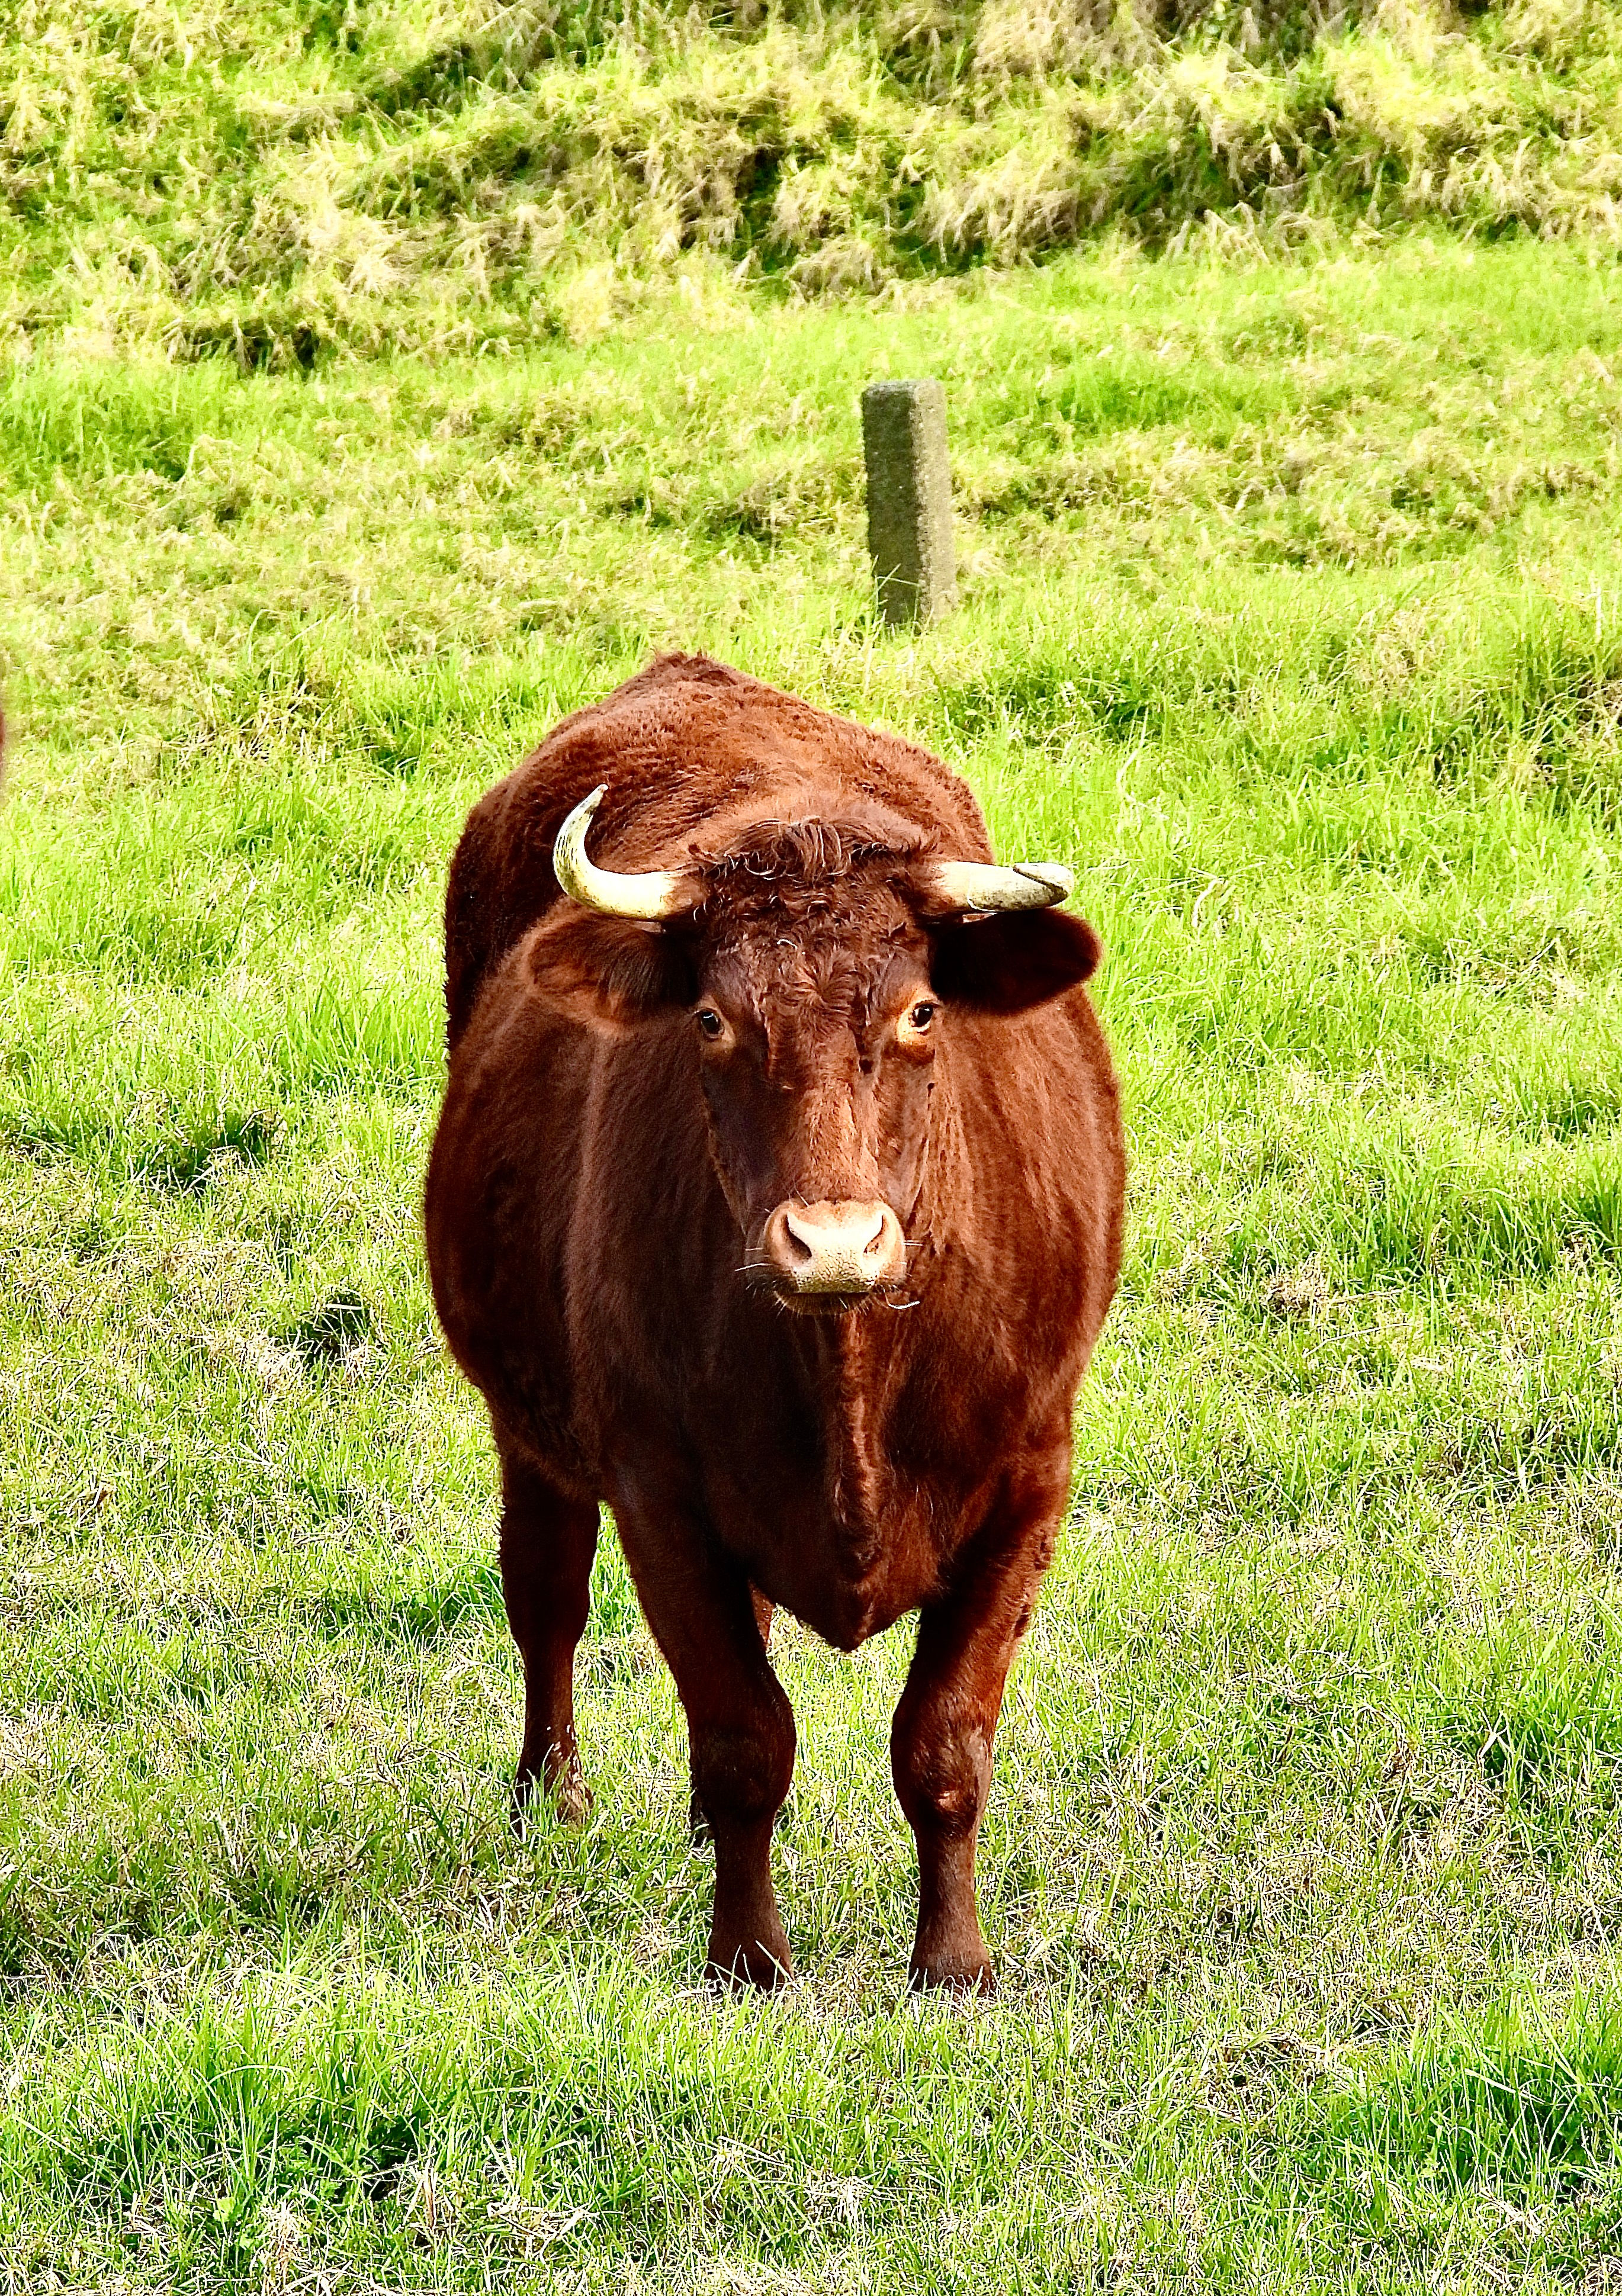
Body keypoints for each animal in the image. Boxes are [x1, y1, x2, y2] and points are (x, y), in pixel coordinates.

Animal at [425, 653, 1124, 1991]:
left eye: (919, 1012)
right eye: (711, 1019)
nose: (833, 1242)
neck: (848, 1375)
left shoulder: (1029, 1478)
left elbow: (941, 1741)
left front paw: (952, 1962)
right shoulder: (657, 1489)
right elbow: (744, 1734)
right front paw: (747, 1956)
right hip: (529, 1429)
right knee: (545, 1590)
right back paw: (552, 1796)